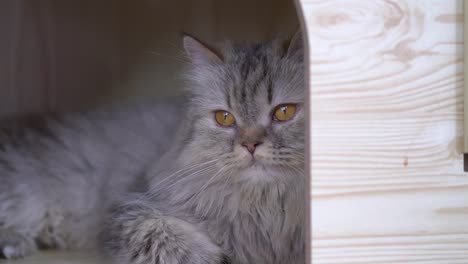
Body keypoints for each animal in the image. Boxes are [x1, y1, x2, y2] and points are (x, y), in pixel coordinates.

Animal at [0, 31, 308, 264]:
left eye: (283, 112)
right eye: (225, 118)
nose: (250, 144)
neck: (264, 211)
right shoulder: (131, 211)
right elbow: (167, 239)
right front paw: (217, 257)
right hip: (25, 194)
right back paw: (14, 245)